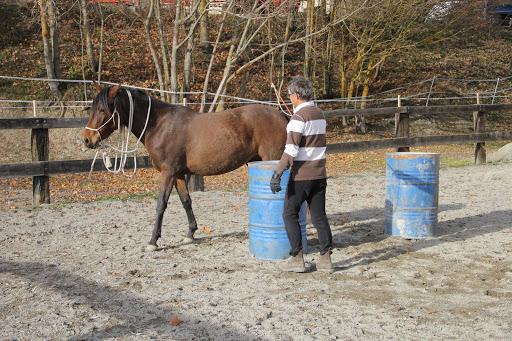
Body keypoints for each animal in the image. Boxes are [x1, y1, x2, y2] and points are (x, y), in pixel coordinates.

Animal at [83, 84, 288, 251]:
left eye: (102, 109)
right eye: (91, 110)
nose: (87, 140)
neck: (159, 125)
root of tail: (283, 116)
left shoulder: (168, 173)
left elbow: (161, 204)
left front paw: (153, 241)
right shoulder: (179, 175)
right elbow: (186, 202)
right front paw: (190, 234)